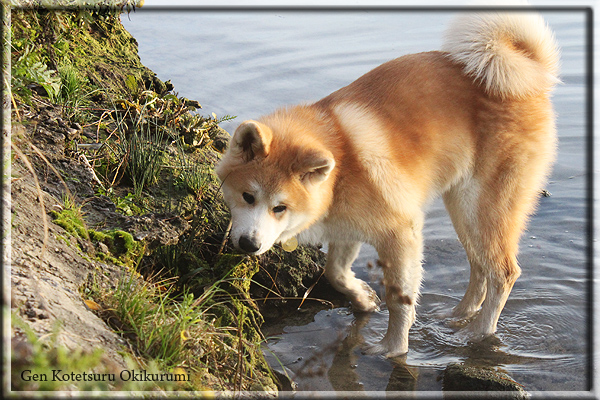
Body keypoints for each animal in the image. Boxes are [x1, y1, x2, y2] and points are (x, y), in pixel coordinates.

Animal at [217, 11, 564, 356]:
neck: (342, 168)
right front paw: (364, 298)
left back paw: (477, 332)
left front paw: (393, 347)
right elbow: (335, 273)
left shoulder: (401, 234)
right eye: (248, 196)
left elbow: (399, 299)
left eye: (280, 207)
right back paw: (457, 316)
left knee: (503, 273)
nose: (248, 244)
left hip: (484, 208)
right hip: (463, 209)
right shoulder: (346, 230)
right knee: (479, 268)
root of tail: (527, 75)